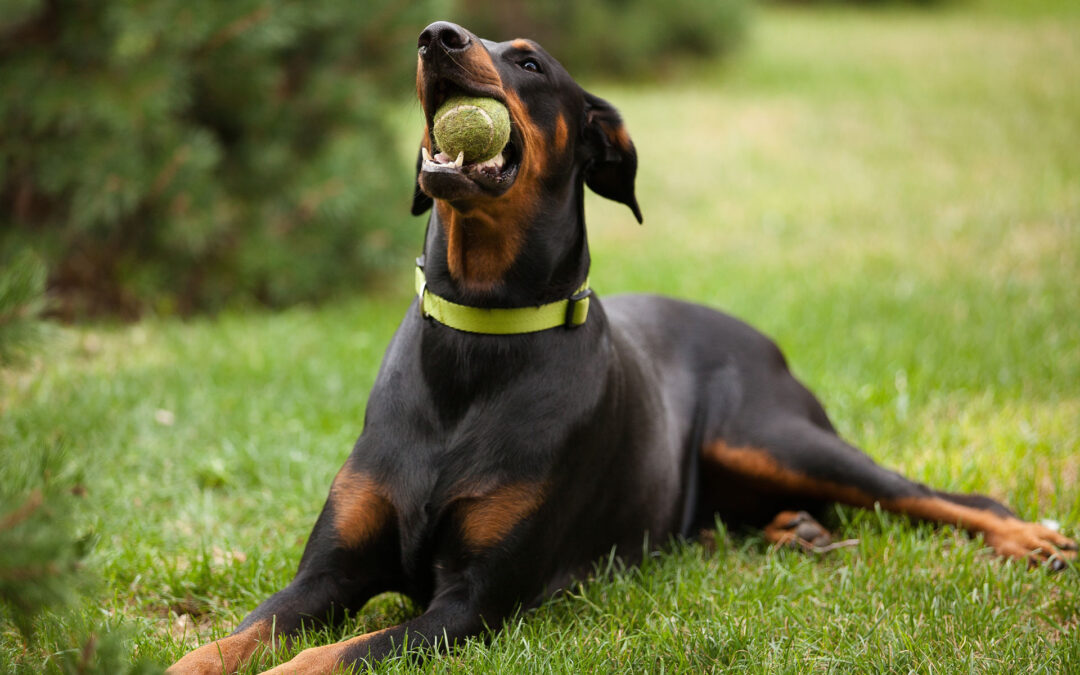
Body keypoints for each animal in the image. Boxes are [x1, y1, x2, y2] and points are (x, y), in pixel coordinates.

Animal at [166, 21, 1071, 673]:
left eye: (530, 63)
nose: (436, 37)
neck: (476, 346)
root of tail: (757, 333)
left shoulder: (470, 604)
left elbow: (330, 655)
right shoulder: (326, 573)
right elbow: (233, 638)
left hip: (771, 433)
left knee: (933, 493)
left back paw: (1027, 539)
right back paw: (796, 531)